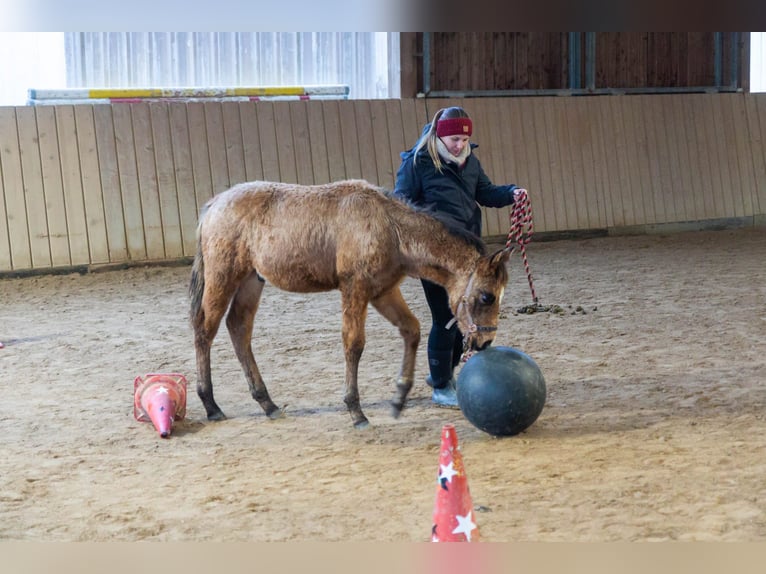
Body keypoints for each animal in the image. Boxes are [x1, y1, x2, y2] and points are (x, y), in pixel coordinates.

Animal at [190, 180, 512, 428]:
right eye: (487, 296)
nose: (485, 342)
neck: (390, 227)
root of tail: (215, 203)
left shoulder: (383, 292)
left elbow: (412, 331)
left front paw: (399, 398)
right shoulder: (355, 289)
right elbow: (354, 344)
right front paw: (356, 411)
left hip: (251, 281)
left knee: (238, 327)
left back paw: (267, 404)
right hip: (223, 276)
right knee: (205, 329)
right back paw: (211, 405)